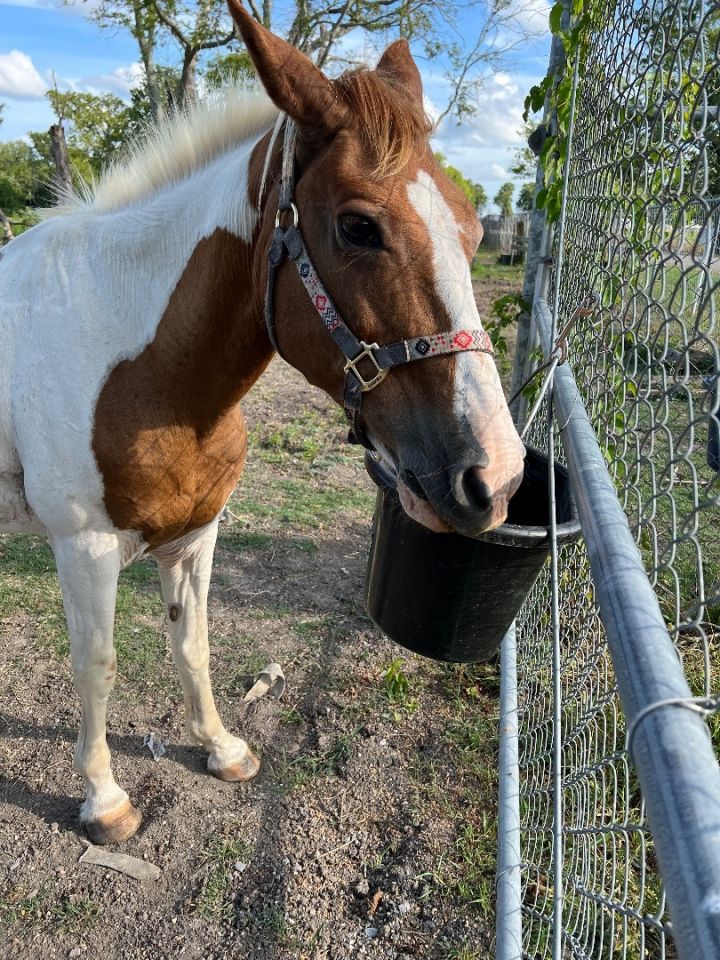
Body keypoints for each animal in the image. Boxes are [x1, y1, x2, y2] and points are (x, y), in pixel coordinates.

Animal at [0, 0, 525, 845]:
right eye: (357, 226)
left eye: (475, 230)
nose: (496, 477)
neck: (137, 361)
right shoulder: (84, 549)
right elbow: (97, 668)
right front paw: (104, 799)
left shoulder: (195, 533)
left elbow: (193, 644)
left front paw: (219, 747)